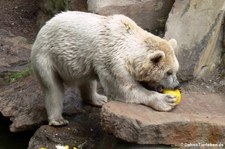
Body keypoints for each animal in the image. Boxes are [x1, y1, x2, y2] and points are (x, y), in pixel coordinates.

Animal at [31, 11, 179, 126]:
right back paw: (58, 120)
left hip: (83, 61)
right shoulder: (112, 59)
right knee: (53, 88)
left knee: (87, 80)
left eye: (176, 70)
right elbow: (124, 88)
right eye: (168, 72)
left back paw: (98, 99)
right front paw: (166, 100)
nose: (177, 85)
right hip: (46, 57)